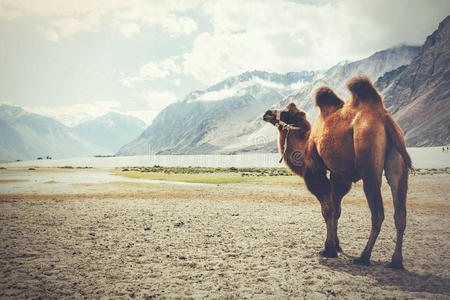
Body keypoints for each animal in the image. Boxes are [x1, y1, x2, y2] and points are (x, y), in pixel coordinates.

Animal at [262, 76, 410, 268]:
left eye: (287, 112)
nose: (267, 113)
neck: (306, 142)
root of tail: (385, 120)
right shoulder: (338, 176)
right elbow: (337, 209)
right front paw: (337, 246)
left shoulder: (316, 172)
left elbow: (327, 210)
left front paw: (329, 249)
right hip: (398, 160)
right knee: (399, 209)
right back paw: (396, 261)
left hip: (368, 157)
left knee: (378, 213)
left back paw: (364, 256)